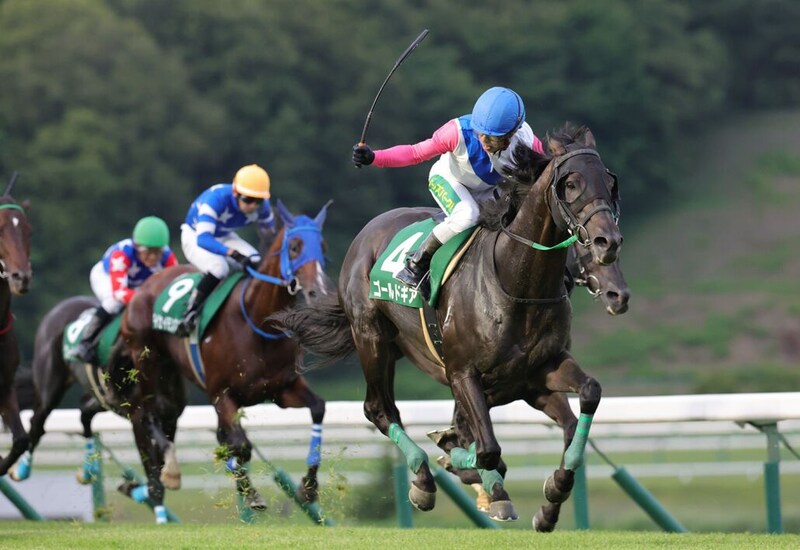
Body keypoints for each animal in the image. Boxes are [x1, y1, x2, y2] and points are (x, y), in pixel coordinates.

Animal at [121, 200, 332, 515]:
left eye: (322, 246)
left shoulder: (282, 389)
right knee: (148, 413)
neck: (256, 323)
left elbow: (317, 408)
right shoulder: (222, 394)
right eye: (294, 247)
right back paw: (168, 471)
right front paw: (251, 493)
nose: (317, 291)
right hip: (147, 361)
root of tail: (144, 287)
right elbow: (240, 445)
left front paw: (309, 487)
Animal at [275, 124, 622, 531]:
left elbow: (587, 397)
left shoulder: (539, 370)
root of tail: (367, 233)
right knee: (379, 409)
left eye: (610, 183)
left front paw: (552, 495)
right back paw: (425, 480)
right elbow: (486, 450)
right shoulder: (463, 372)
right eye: (571, 183)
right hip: (371, 338)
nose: (608, 242)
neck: (517, 283)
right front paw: (471, 471)